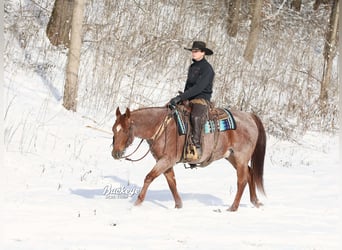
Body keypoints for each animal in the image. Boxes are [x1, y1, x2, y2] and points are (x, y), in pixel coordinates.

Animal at [111, 105, 266, 211]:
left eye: (126, 130)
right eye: (114, 129)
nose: (115, 153)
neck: (161, 127)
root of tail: (249, 116)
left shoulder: (166, 160)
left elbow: (149, 177)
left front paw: (136, 204)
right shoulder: (165, 162)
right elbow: (172, 182)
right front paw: (178, 205)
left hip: (241, 157)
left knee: (242, 180)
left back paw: (233, 207)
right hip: (232, 157)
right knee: (250, 173)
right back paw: (255, 201)